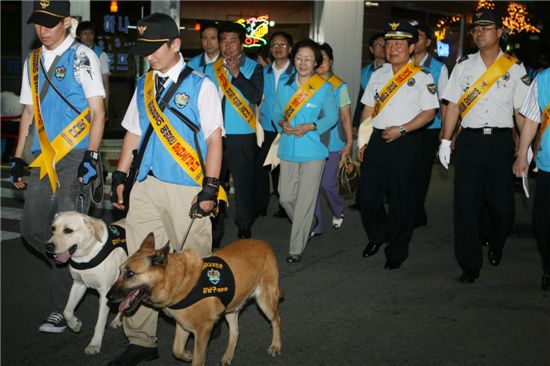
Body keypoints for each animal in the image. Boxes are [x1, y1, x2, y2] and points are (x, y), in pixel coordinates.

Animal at [107, 234, 282, 366]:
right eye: (120, 271)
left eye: (130, 274)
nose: (108, 297)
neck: (178, 280)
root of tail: (262, 243)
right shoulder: (183, 325)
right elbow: (176, 350)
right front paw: (187, 355)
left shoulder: (202, 331)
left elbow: (197, 360)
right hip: (231, 308)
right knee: (235, 332)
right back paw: (227, 356)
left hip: (265, 301)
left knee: (276, 319)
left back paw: (276, 345)